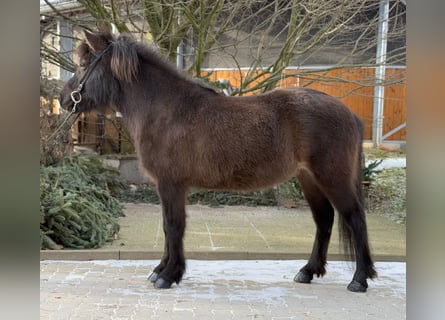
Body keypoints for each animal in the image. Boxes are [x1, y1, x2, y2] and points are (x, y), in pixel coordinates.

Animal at [59, 30, 374, 292]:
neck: (165, 110)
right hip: (308, 178)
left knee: (355, 219)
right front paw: (161, 269)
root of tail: (350, 115)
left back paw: (359, 279)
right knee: (324, 220)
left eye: (83, 64)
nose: (64, 99)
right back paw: (308, 271)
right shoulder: (166, 186)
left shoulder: (171, 184)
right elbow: (167, 227)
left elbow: (173, 226)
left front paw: (168, 275)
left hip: (332, 177)